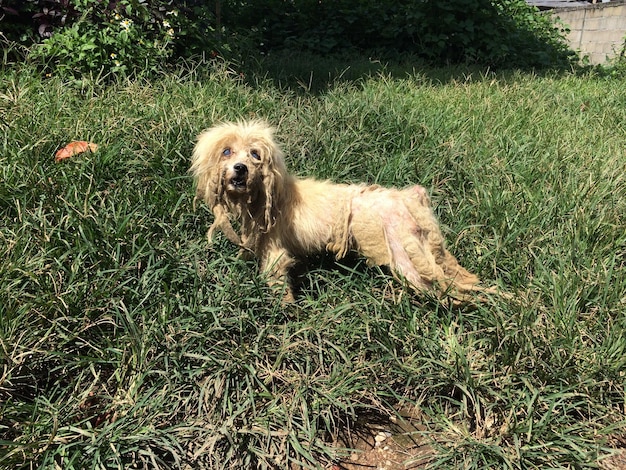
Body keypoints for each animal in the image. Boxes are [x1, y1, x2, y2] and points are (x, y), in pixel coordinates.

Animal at [190, 119, 492, 302]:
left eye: (255, 155)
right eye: (227, 152)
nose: (240, 169)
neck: (273, 196)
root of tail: (408, 197)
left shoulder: (276, 252)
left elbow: (278, 282)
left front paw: (283, 310)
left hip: (407, 259)